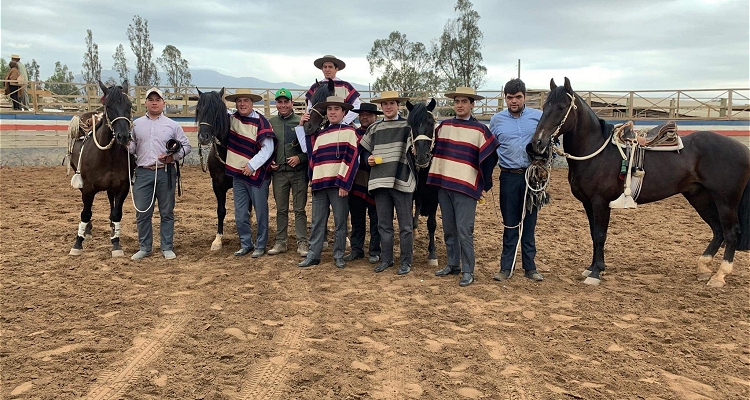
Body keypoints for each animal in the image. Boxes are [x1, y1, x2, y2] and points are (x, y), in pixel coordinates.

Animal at [68, 79, 134, 258]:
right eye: (109, 106)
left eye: (129, 105)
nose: (123, 136)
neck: (108, 155)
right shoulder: (88, 188)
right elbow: (85, 213)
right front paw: (78, 243)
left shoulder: (122, 187)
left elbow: (117, 213)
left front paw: (116, 243)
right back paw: (88, 230)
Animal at [532, 76, 748, 286]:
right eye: (545, 106)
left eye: (561, 107)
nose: (537, 142)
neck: (596, 151)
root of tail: (743, 149)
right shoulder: (588, 202)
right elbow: (594, 234)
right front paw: (592, 267)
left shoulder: (600, 201)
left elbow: (600, 235)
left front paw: (595, 273)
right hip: (699, 197)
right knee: (718, 230)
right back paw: (703, 268)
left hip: (725, 200)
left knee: (731, 232)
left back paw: (719, 276)